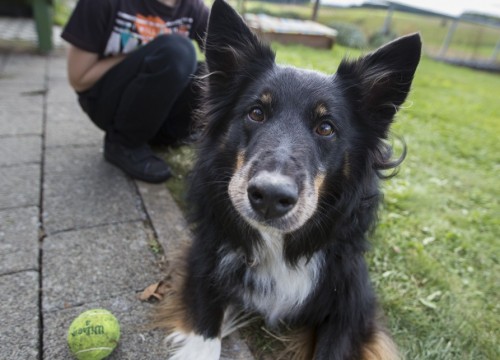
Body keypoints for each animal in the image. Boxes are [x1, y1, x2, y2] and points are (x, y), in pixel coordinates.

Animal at [154, 1, 420, 358]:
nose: (269, 197)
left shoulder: (352, 301)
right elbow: (204, 332)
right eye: (256, 112)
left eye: (326, 127)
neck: (278, 242)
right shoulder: (203, 257)